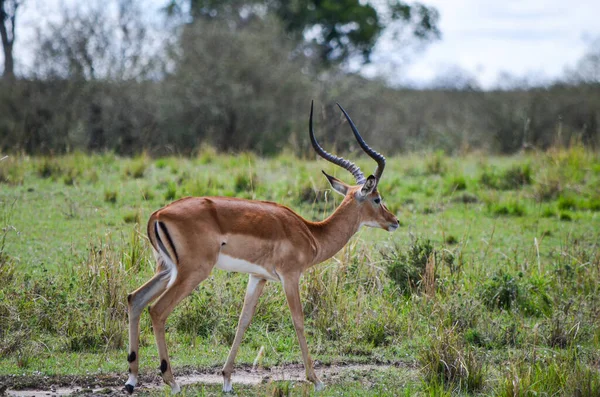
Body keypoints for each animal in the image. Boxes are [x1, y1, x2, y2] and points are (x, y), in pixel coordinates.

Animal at [124, 100, 398, 392]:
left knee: (135, 299)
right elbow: (298, 320)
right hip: (192, 272)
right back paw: (172, 382)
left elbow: (243, 321)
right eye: (377, 198)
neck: (311, 233)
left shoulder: (258, 277)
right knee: (157, 310)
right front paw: (316, 379)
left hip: (166, 269)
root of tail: (159, 214)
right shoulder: (290, 276)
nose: (395, 221)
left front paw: (227, 380)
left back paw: (131, 380)